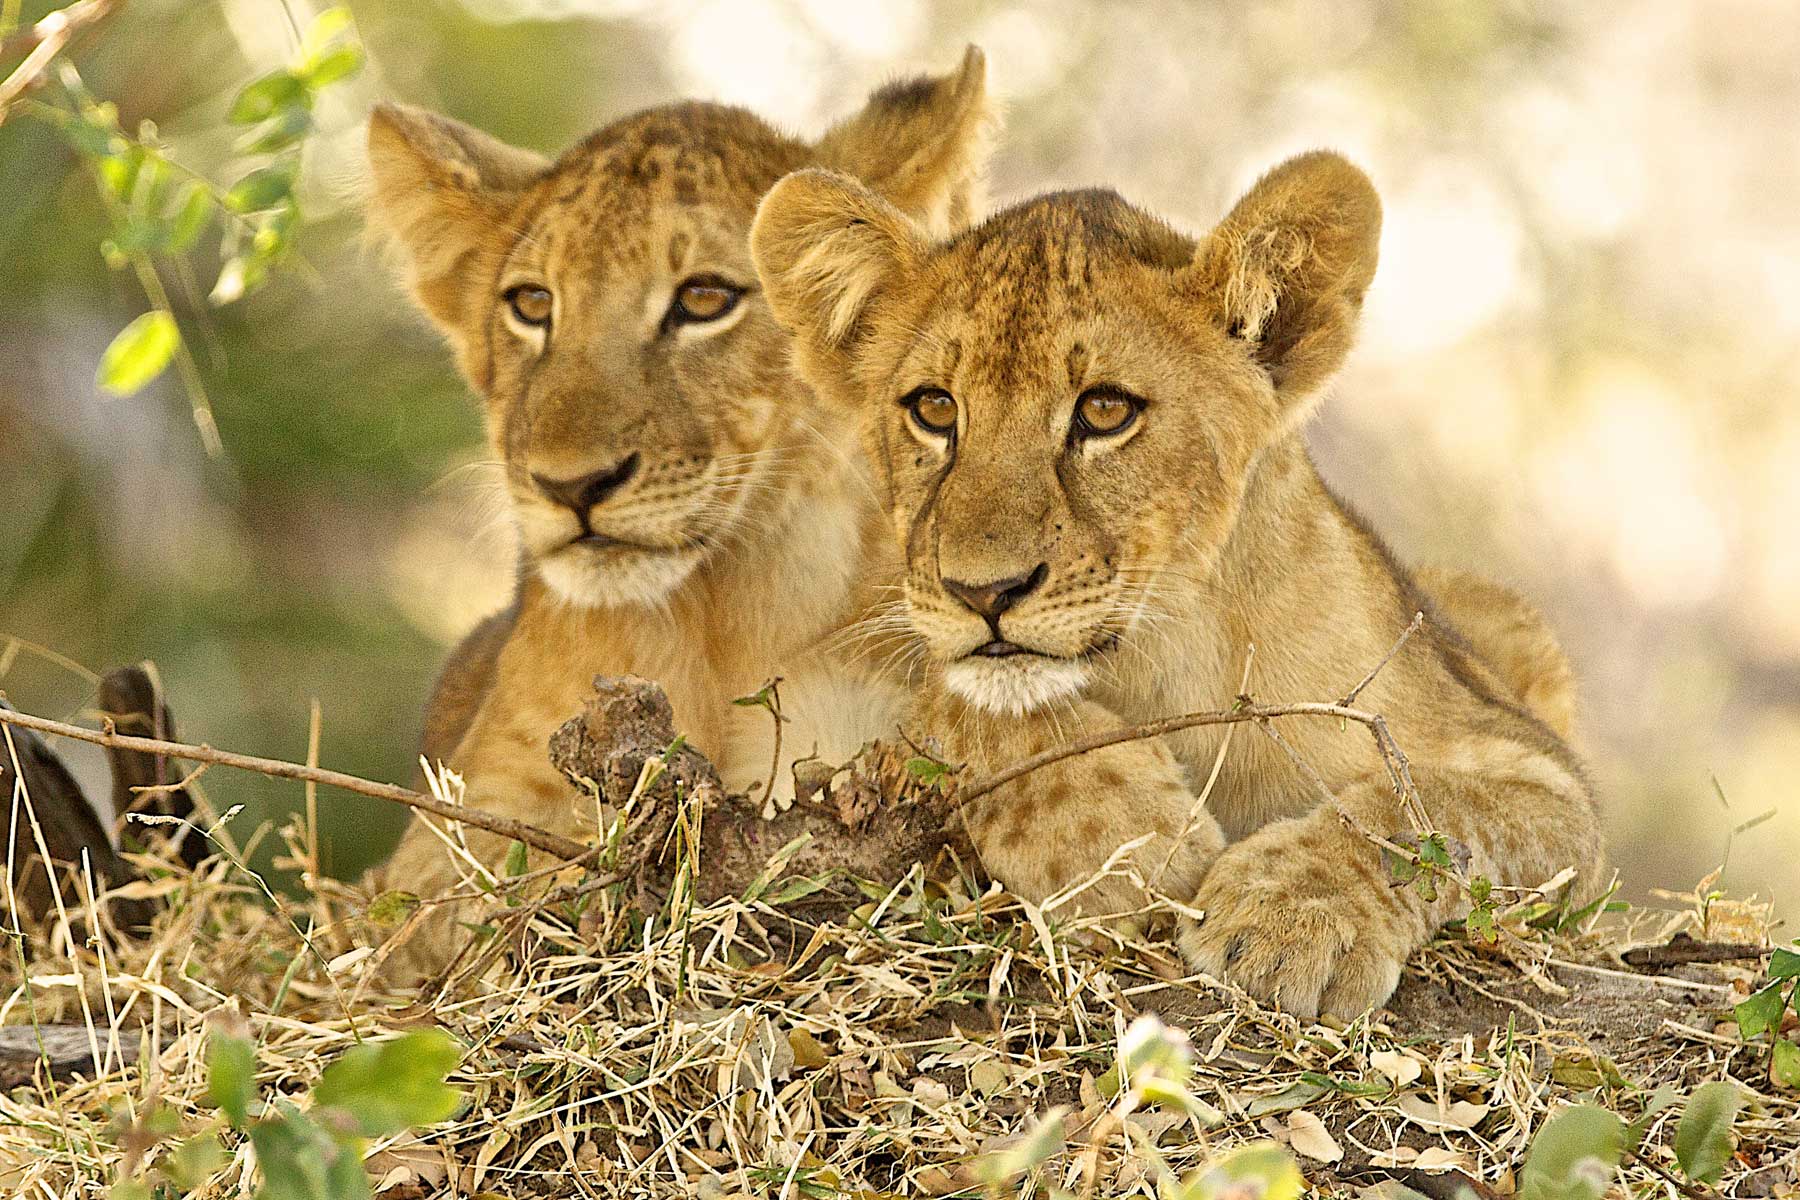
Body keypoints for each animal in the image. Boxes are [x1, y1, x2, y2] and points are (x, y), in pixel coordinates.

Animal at [749, 151, 1603, 1018]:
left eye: (1104, 410)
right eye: (933, 407)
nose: (983, 593)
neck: (1167, 658)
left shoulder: (1551, 785)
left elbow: (1423, 810)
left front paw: (1291, 919)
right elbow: (961, 705)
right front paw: (1128, 842)